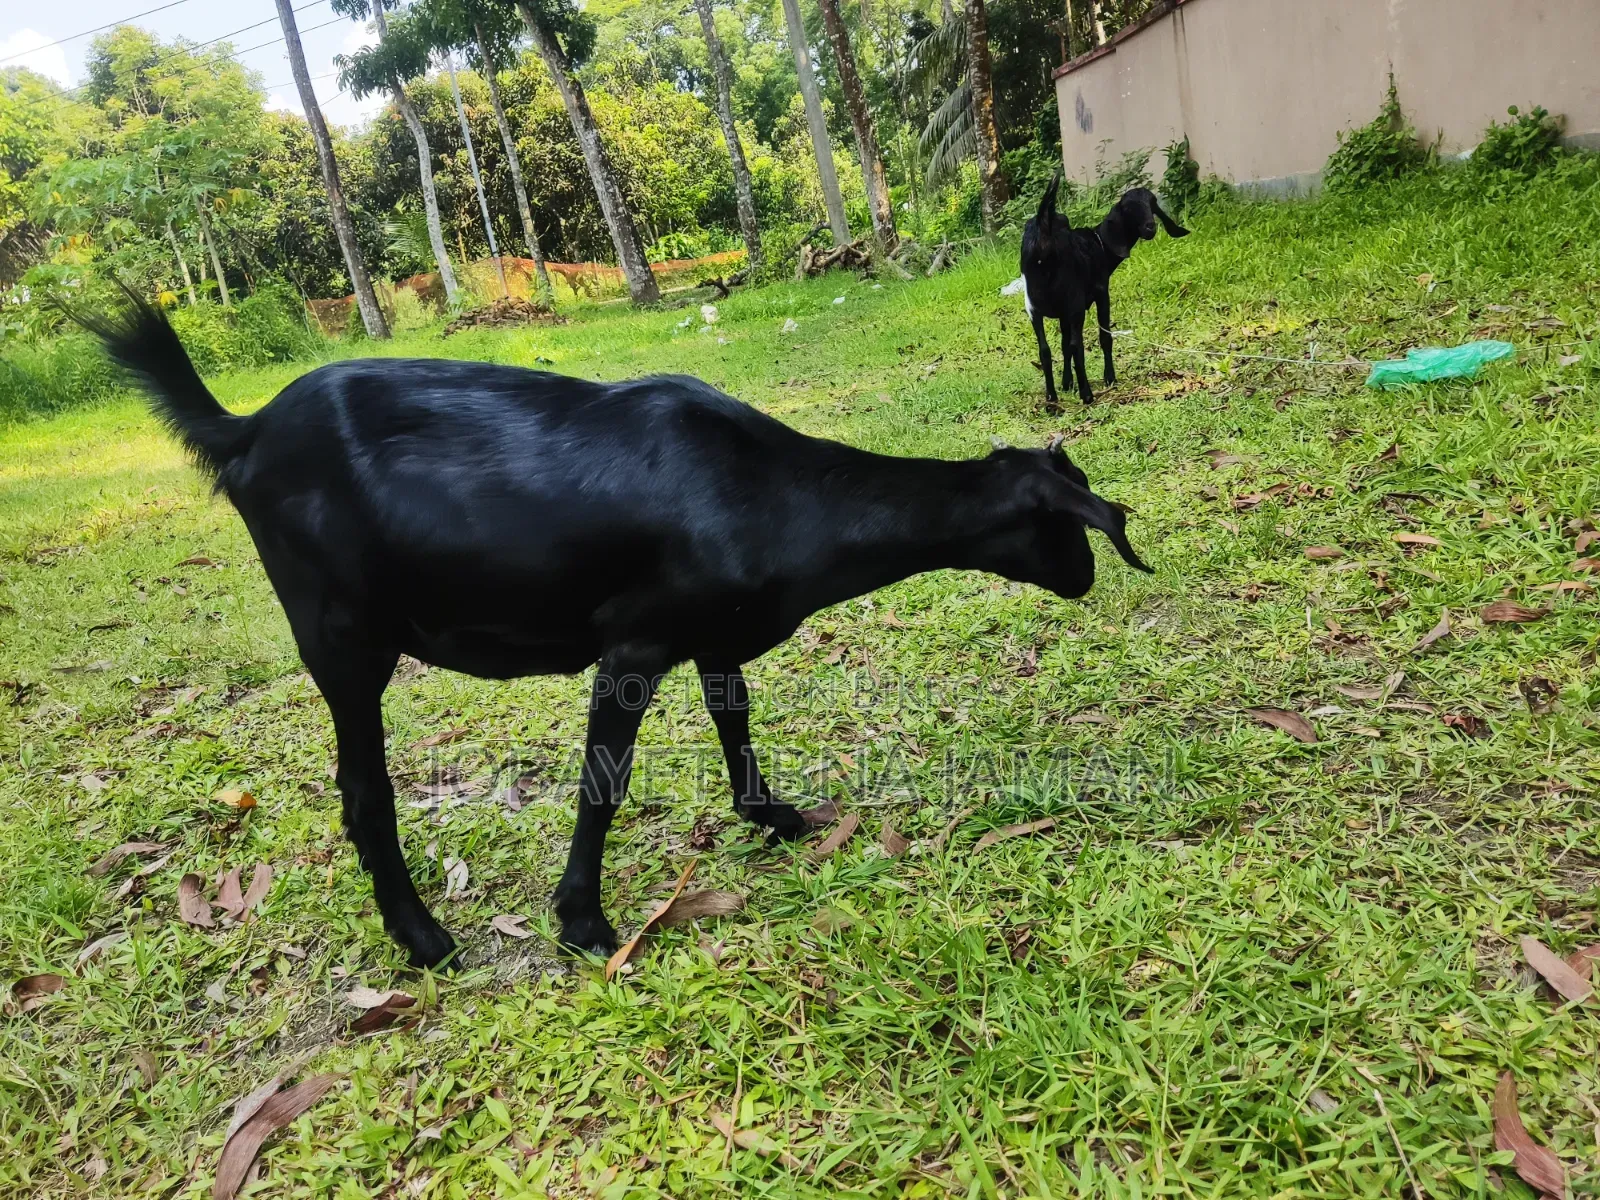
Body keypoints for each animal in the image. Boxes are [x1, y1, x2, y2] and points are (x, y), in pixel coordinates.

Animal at [78, 291, 1151, 969]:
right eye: (1069, 525)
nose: (1087, 576)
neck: (777, 492)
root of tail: (247, 429)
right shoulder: (632, 647)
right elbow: (605, 781)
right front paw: (584, 919)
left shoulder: (715, 636)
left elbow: (736, 722)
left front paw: (772, 815)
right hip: (343, 635)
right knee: (360, 790)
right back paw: (422, 940)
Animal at [1020, 173, 1189, 409]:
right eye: (1128, 208)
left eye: (1152, 204)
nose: (1150, 227)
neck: (1100, 245)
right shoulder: (1100, 294)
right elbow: (1104, 337)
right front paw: (1110, 377)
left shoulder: (1061, 313)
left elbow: (1062, 345)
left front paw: (1066, 383)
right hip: (1073, 303)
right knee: (1077, 345)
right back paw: (1087, 394)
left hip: (1033, 307)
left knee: (1044, 350)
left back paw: (1051, 397)